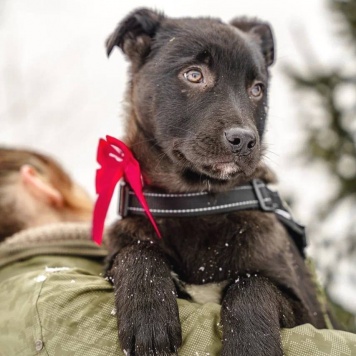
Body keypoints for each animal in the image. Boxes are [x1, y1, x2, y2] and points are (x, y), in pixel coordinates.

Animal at [104, 9, 326, 356]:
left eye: (257, 89)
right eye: (194, 75)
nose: (245, 141)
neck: (196, 201)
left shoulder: (308, 312)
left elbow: (251, 283)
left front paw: (251, 347)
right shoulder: (117, 254)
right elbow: (136, 252)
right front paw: (148, 318)